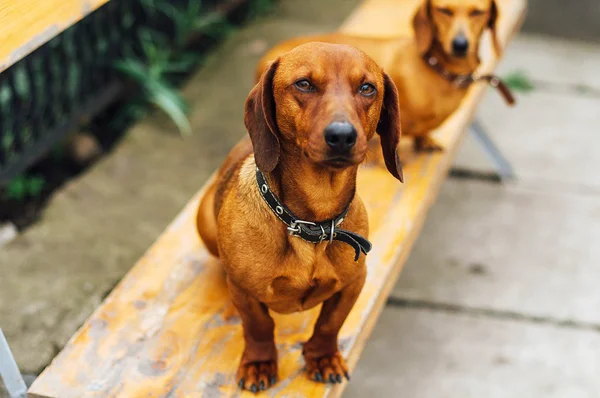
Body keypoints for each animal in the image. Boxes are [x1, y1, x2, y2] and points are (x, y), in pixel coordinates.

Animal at [197, 42, 404, 392]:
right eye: (304, 84)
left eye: (367, 88)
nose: (342, 136)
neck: (311, 224)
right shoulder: (244, 291)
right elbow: (258, 326)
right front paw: (259, 362)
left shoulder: (353, 284)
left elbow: (329, 325)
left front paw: (323, 357)